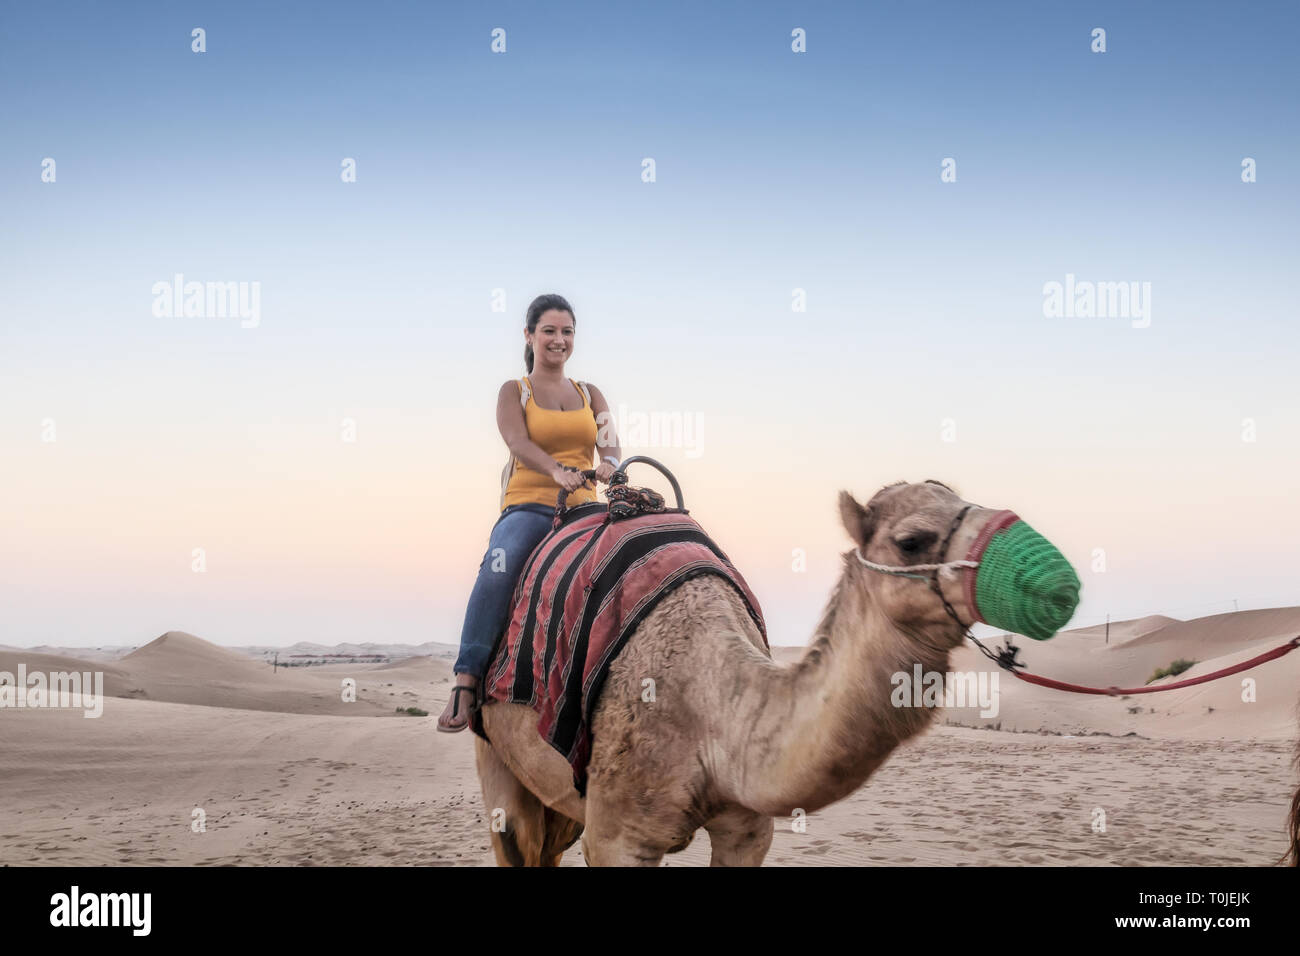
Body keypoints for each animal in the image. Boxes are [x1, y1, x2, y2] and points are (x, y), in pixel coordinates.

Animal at [473, 481, 1071, 863]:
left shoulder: (747, 830)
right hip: (494, 747)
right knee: (517, 837)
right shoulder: (619, 838)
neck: (711, 711)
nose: (1057, 582)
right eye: (911, 541)